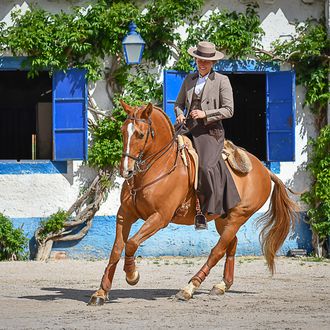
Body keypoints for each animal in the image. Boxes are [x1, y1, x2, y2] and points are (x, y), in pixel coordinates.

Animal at [89, 100, 298, 304]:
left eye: (140, 134)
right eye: (123, 131)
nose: (126, 170)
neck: (158, 167)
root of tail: (264, 170)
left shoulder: (160, 217)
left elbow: (132, 243)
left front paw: (132, 275)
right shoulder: (124, 214)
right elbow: (116, 249)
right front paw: (101, 292)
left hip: (239, 216)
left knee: (217, 250)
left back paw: (189, 288)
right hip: (224, 219)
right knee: (231, 244)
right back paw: (222, 285)